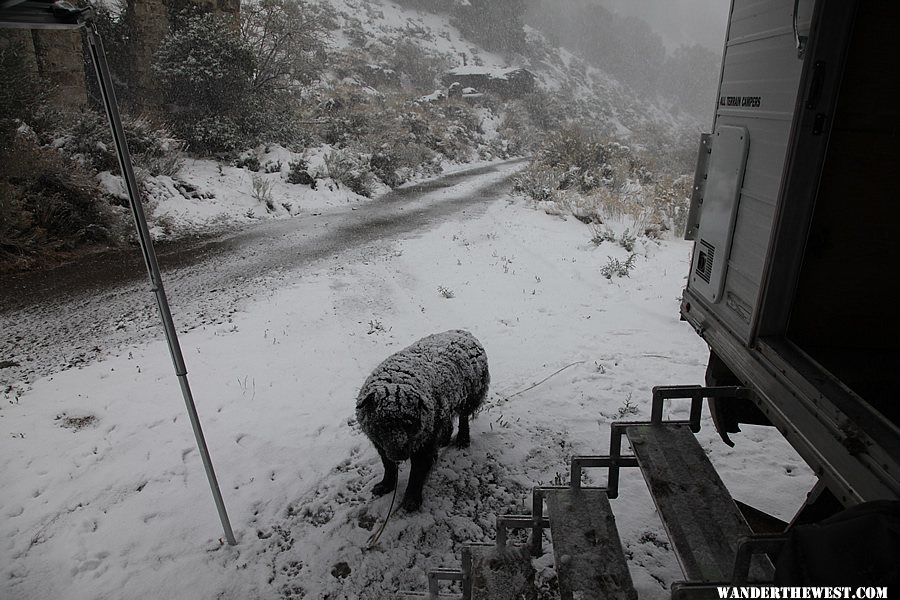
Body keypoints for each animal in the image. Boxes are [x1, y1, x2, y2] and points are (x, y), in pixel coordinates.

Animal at [356, 330, 488, 508]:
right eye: (382, 424)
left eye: (410, 423)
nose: (399, 453)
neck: (398, 380)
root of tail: (465, 332)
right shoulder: (381, 443)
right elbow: (389, 466)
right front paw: (386, 485)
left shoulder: (424, 444)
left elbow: (417, 473)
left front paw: (412, 499)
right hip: (442, 408)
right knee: (447, 420)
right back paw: (444, 439)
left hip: (469, 397)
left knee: (463, 418)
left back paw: (462, 439)